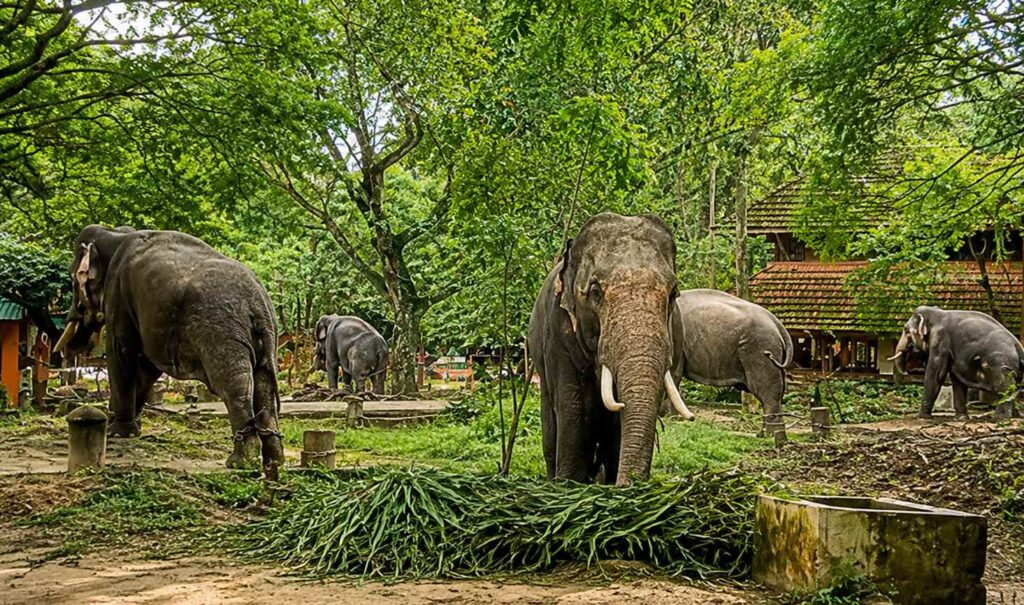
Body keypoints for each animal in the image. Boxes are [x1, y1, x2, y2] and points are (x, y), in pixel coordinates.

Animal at [54, 225, 284, 476]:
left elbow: (123, 352)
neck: (115, 234)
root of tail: (259, 303)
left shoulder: (119, 296)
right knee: (263, 385)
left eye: (72, 279)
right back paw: (273, 461)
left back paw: (240, 461)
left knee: (234, 385)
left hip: (220, 331)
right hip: (265, 336)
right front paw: (132, 427)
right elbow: (146, 366)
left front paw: (118, 432)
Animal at [528, 213, 694, 487]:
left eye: (672, 294)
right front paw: (569, 484)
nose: (629, 484)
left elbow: (618, 421)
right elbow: (573, 404)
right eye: (595, 292)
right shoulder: (558, 333)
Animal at [888, 305, 1024, 419]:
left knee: (1002, 386)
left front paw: (922, 417)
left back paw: (1000, 418)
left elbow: (936, 374)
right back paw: (1015, 416)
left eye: (906, 330)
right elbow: (957, 379)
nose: (907, 373)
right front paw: (961, 418)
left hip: (999, 362)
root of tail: (1018, 345)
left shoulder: (940, 340)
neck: (936, 313)